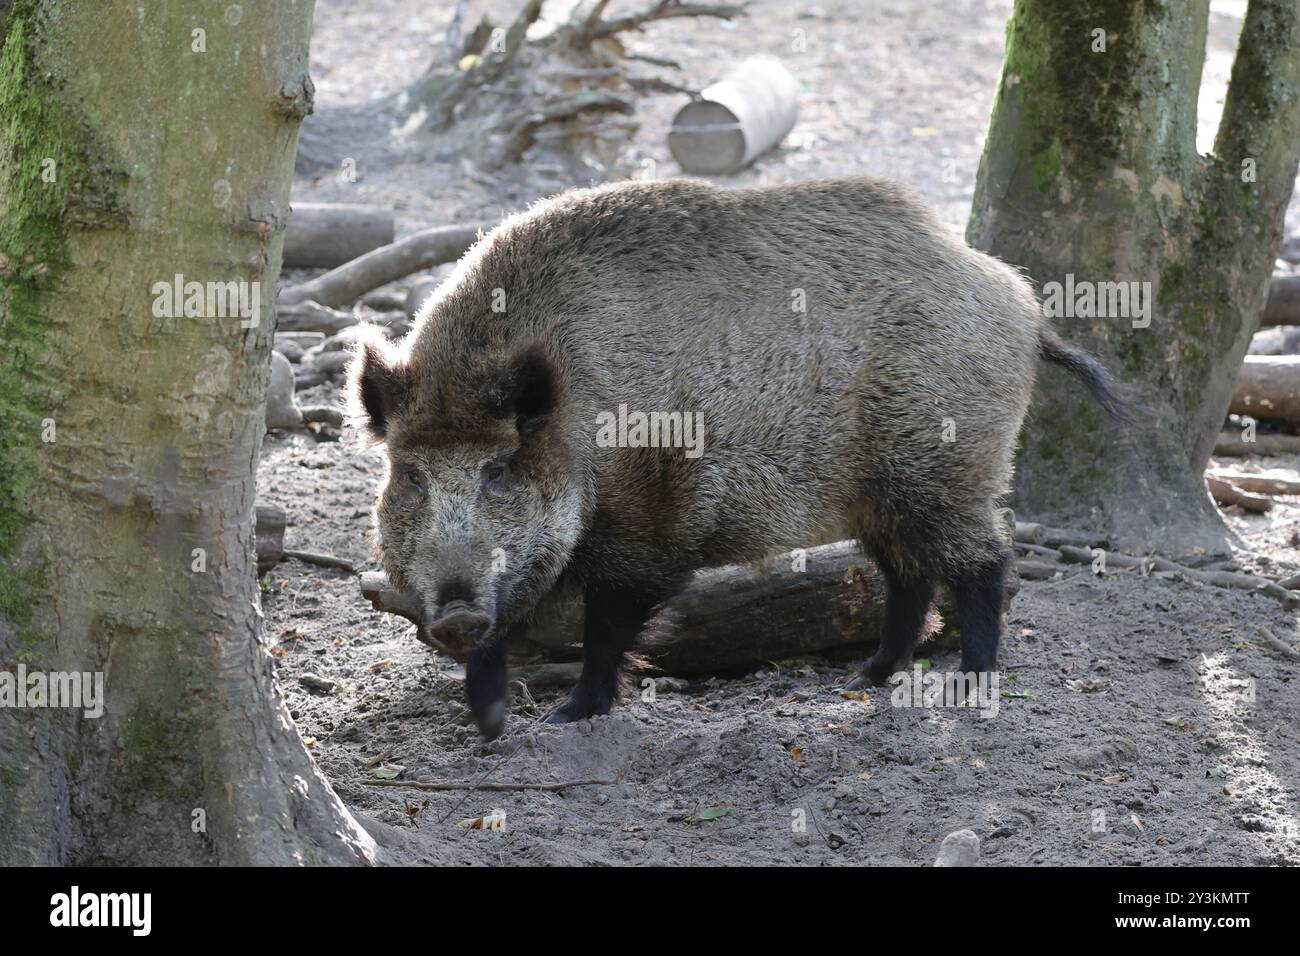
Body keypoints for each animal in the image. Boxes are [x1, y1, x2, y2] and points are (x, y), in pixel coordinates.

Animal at [349, 176, 1128, 740]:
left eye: (500, 469)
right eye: (410, 474)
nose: (453, 612)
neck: (579, 421)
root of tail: (1022, 305)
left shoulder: (648, 527)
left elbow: (606, 627)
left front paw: (573, 714)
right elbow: (506, 632)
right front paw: (486, 724)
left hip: (947, 471)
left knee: (984, 562)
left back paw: (970, 681)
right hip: (883, 496)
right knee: (908, 578)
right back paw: (869, 677)